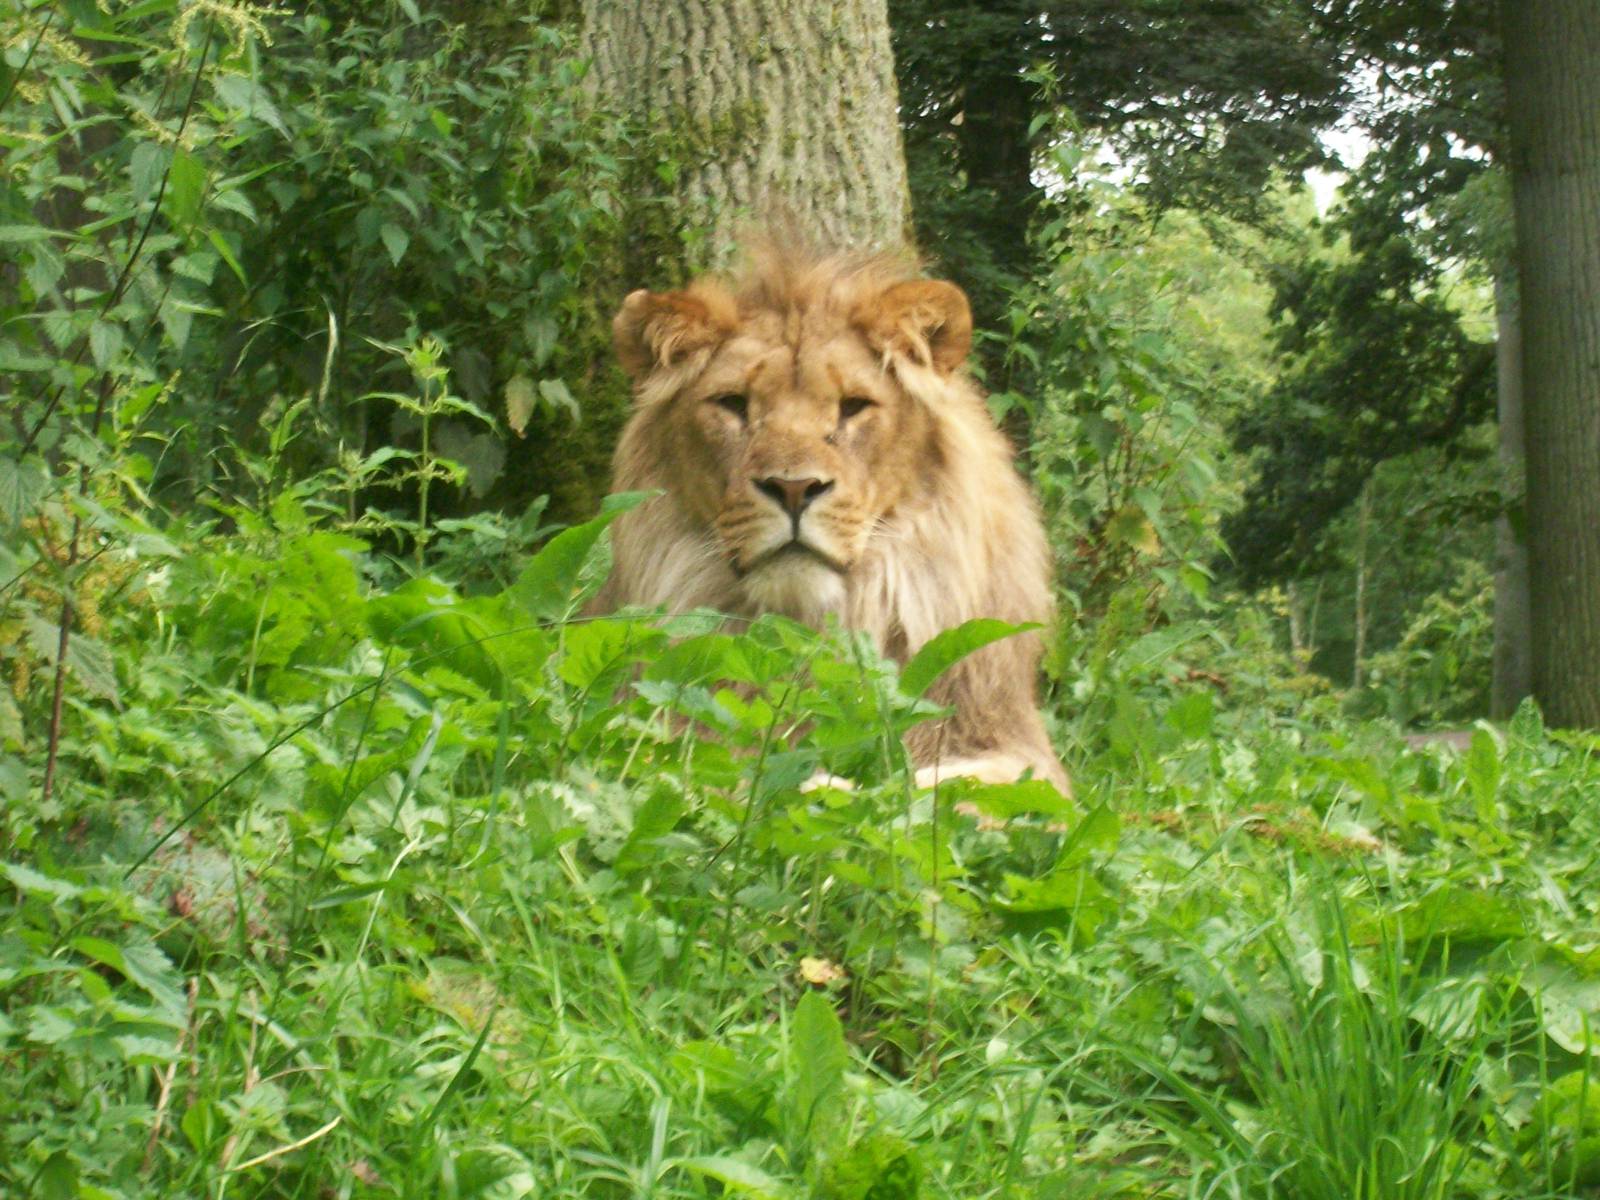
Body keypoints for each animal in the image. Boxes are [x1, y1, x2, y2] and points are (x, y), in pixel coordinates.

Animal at [593, 243, 1068, 793]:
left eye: (853, 407)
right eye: (733, 404)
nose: (794, 488)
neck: (805, 630)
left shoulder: (1013, 745)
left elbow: (953, 788)